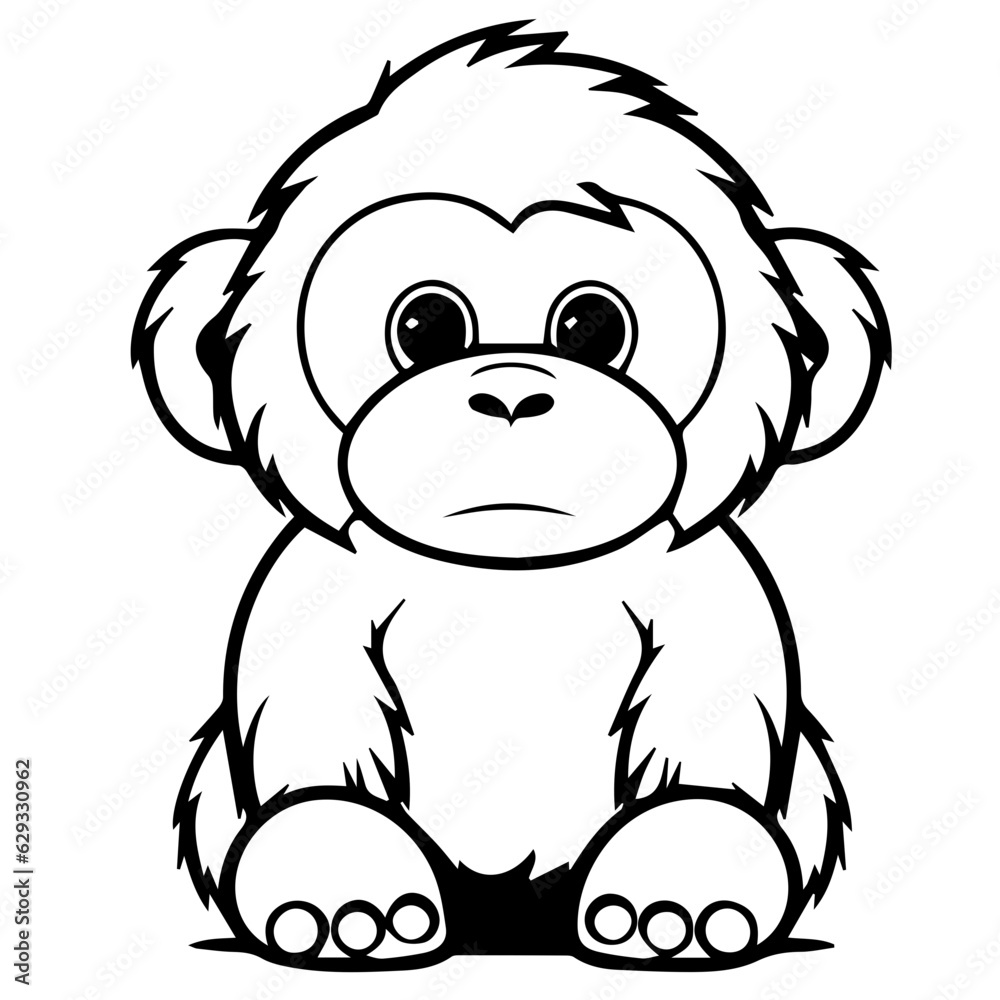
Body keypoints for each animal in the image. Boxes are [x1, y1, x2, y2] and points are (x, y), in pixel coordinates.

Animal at [132, 21, 889, 972]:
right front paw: (341, 887)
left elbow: (705, 731)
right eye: (425, 325)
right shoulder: (314, 590)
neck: (512, 574)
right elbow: (316, 729)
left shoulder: (711, 589)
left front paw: (678, 889)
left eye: (593, 324)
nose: (512, 394)